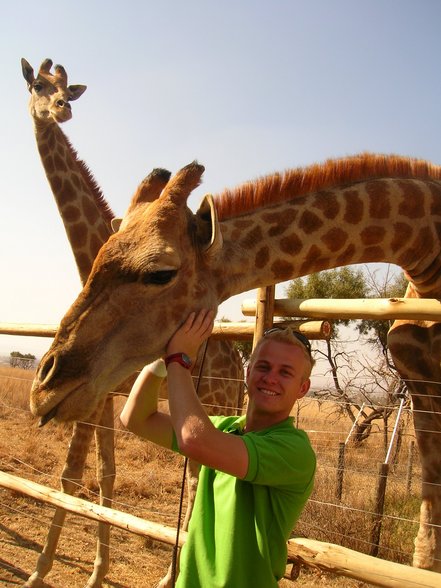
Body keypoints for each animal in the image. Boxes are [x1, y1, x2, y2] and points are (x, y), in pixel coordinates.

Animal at [21, 59, 244, 588]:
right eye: (39, 86)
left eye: (65, 90)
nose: (60, 110)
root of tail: (242, 363)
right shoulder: (102, 394)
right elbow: (104, 475)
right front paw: (96, 571)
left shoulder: (91, 392)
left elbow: (70, 476)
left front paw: (40, 572)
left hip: (220, 400)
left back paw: (172, 576)